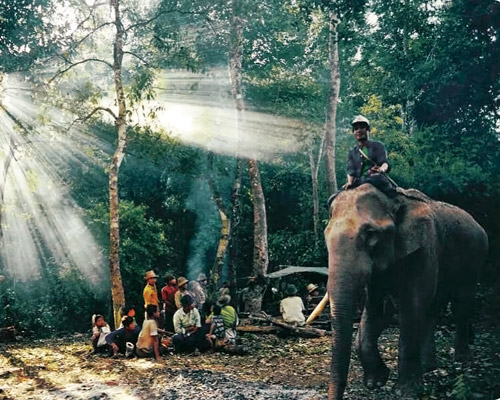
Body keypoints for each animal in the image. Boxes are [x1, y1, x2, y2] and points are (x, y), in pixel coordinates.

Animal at [312, 184, 488, 400]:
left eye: (371, 233)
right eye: (325, 234)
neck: (395, 200)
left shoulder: (423, 247)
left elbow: (411, 306)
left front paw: (405, 391)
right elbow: (376, 310)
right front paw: (376, 382)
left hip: (475, 256)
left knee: (461, 304)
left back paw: (462, 361)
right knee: (433, 309)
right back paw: (429, 367)